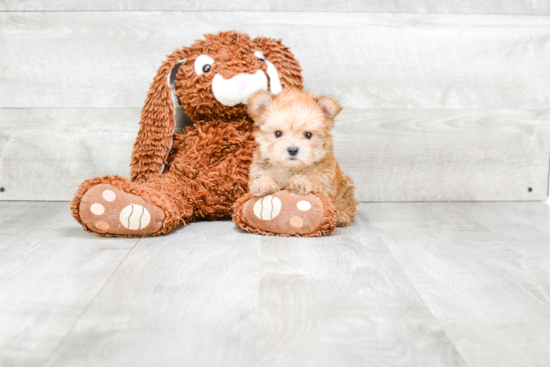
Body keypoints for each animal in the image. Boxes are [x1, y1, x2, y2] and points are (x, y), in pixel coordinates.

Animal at [248, 89, 360, 227]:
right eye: (278, 133)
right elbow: (262, 177)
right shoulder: (259, 169)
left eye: (308, 135)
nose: (292, 150)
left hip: (345, 190)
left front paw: (300, 182)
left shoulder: (325, 180)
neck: (290, 168)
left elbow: (314, 180)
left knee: (346, 204)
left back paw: (341, 217)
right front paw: (263, 184)